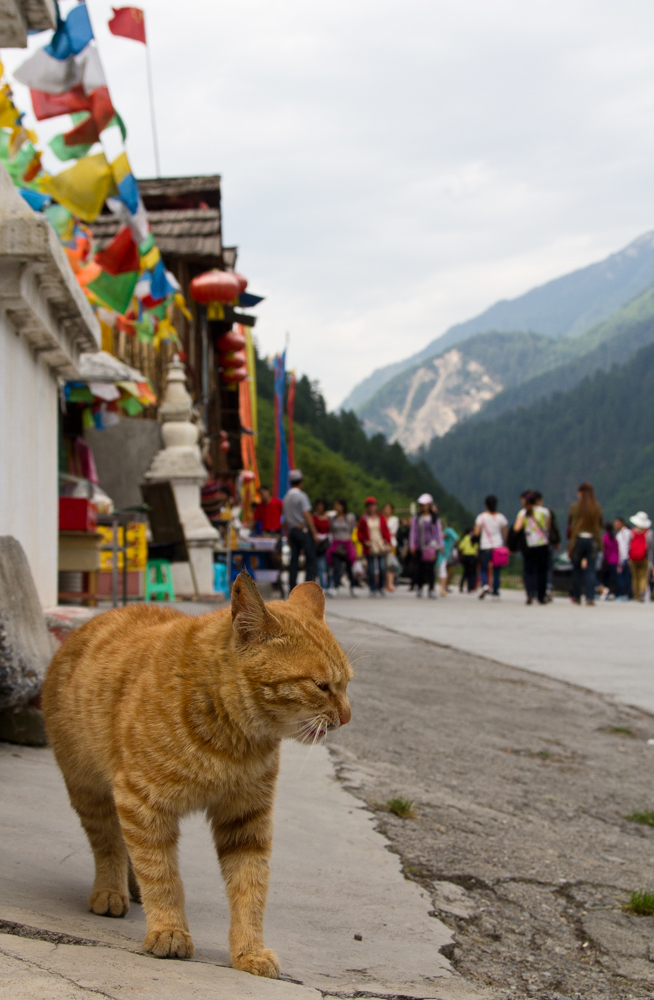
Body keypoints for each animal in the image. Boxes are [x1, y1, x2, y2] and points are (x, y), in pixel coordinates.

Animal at [43, 572, 352, 976]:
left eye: (347, 683)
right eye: (321, 686)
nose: (347, 717)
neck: (232, 737)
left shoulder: (246, 820)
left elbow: (250, 888)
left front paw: (249, 951)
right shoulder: (142, 802)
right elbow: (162, 876)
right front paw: (169, 929)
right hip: (90, 791)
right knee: (109, 842)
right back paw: (111, 890)